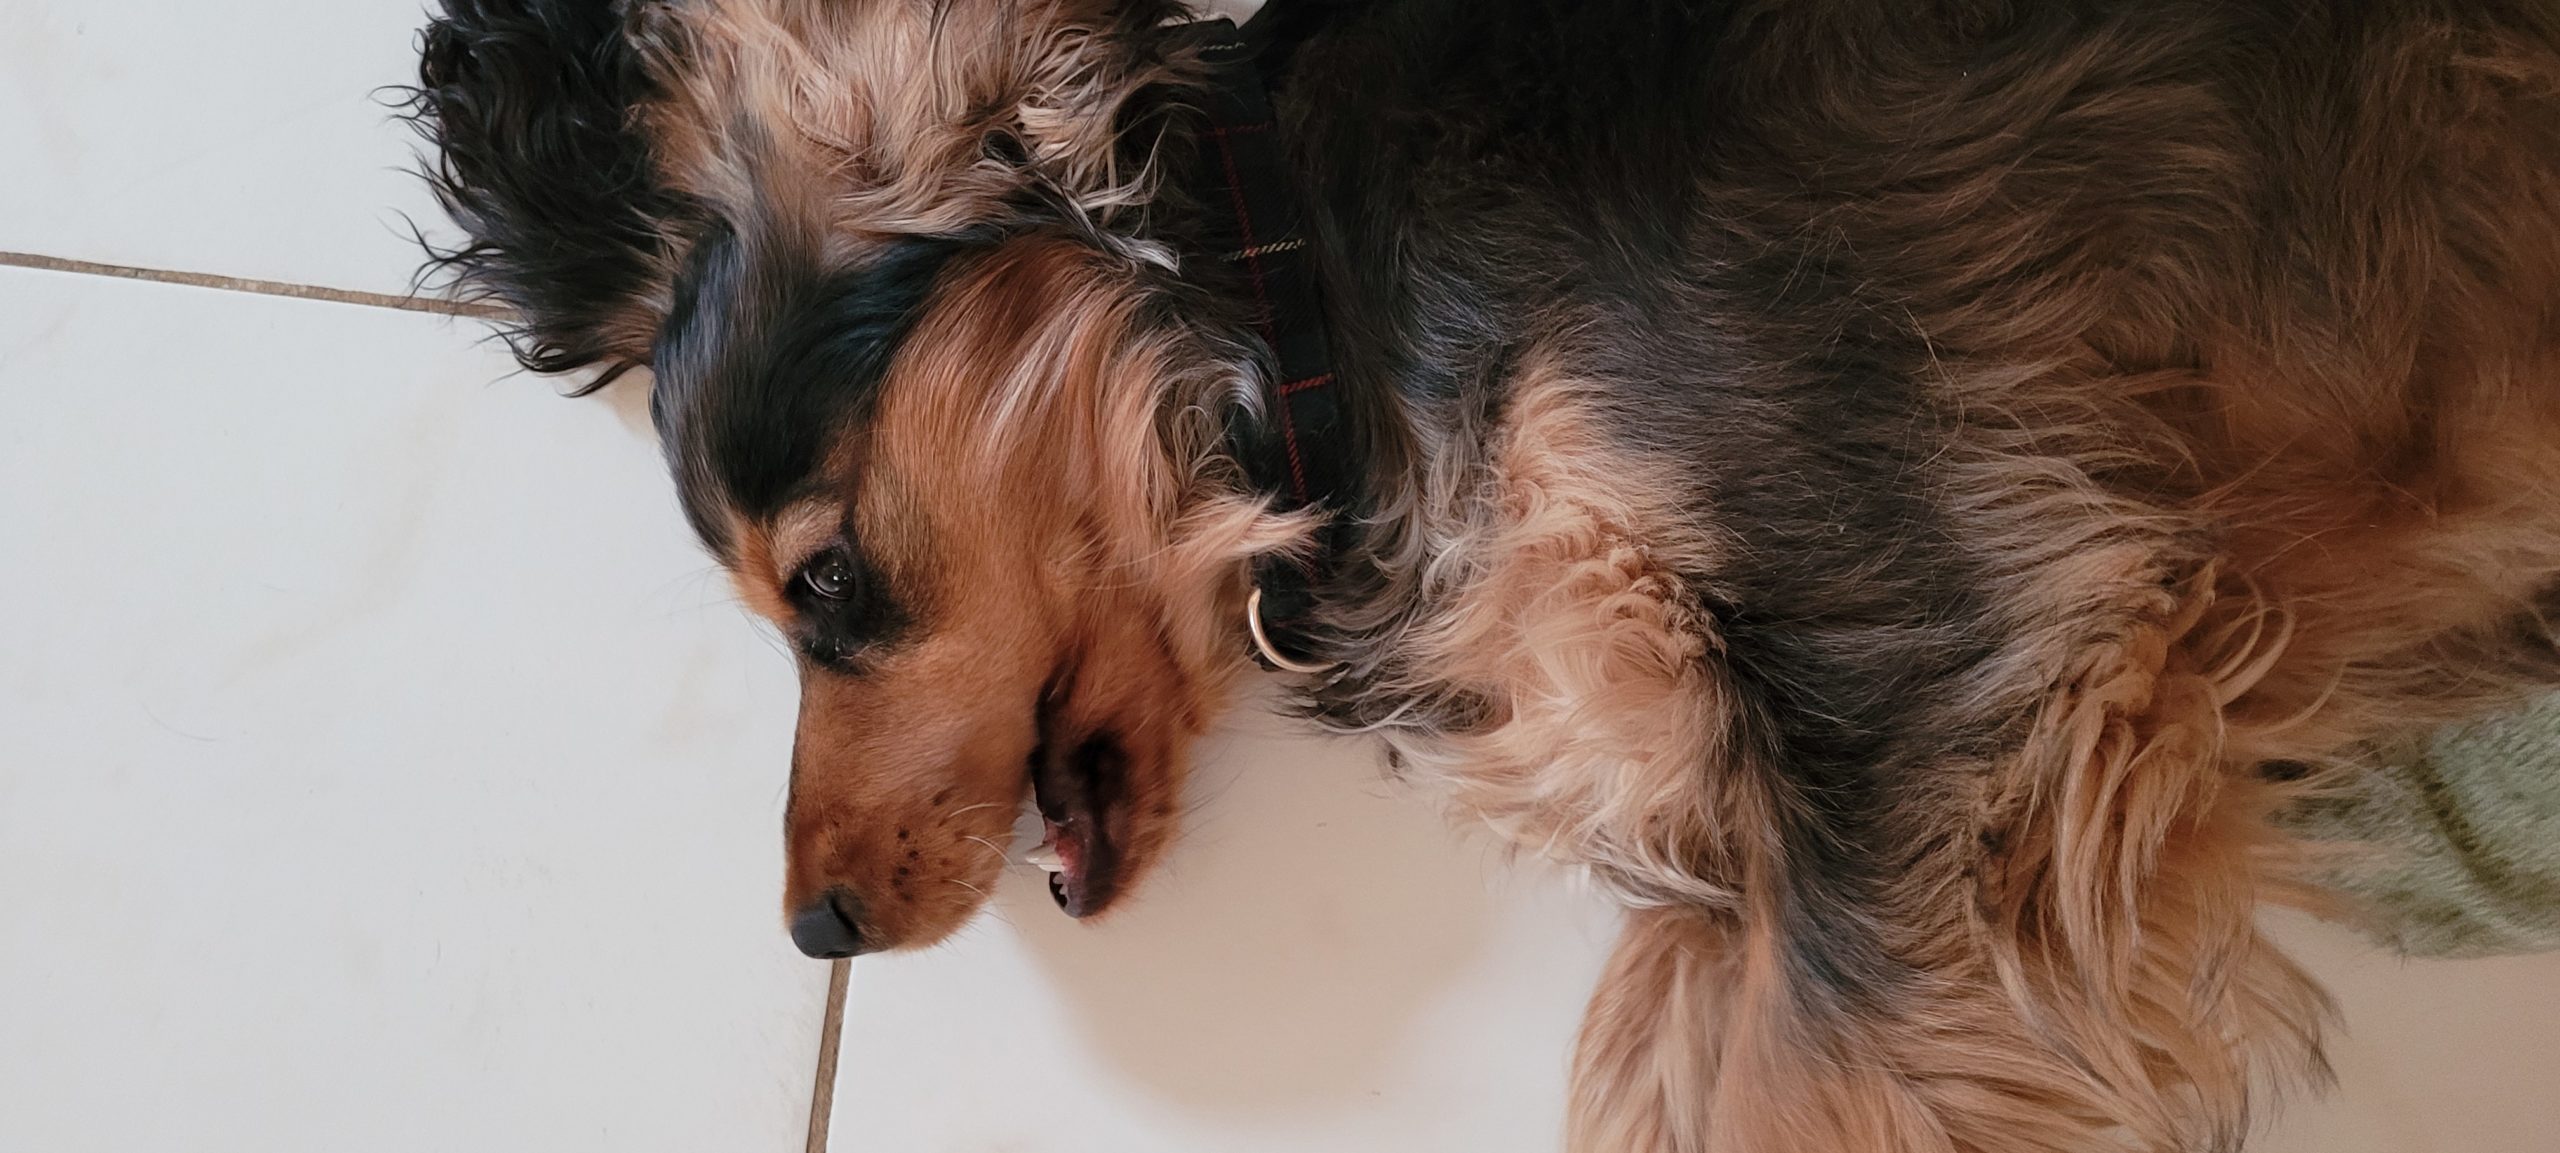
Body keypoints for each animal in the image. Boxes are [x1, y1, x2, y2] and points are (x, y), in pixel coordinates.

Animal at [409, 0, 2560, 1147]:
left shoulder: (1943, 655)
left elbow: (1806, 1089)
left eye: (831, 584)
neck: (1305, 297)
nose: (813, 929)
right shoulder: (1743, 846)